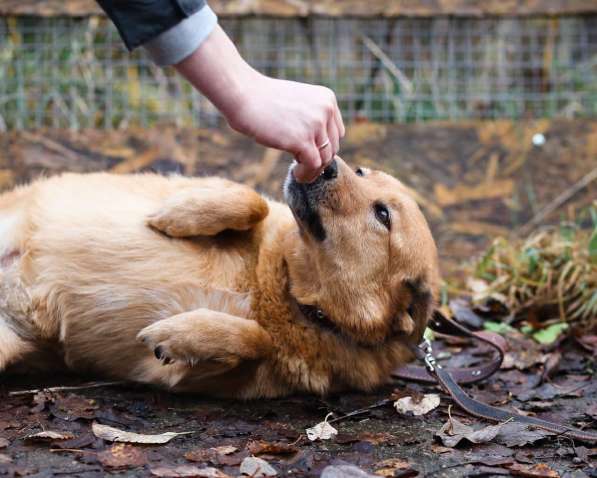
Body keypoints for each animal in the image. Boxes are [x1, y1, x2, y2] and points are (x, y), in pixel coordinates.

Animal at [0, 159, 438, 398]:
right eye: (361, 171)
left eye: (383, 215)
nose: (327, 162)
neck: (285, 288)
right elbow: (254, 200)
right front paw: (173, 214)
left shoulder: (177, 375)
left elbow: (256, 339)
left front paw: (183, 335)